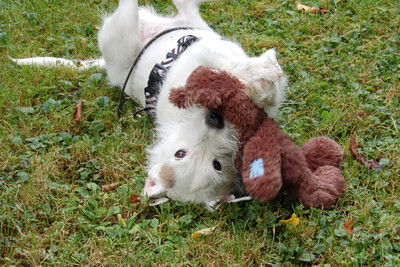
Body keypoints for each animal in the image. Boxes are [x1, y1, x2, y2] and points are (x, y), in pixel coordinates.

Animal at [13, 0, 288, 211]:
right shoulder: (200, 60)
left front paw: (260, 79)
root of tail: (106, 65)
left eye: (217, 165)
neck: (185, 119)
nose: (215, 118)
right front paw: (259, 74)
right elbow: (227, 64)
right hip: (122, 34)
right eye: (180, 154)